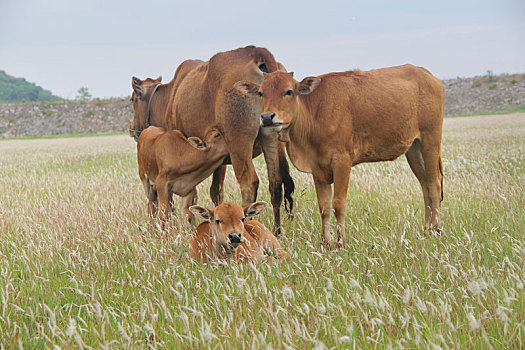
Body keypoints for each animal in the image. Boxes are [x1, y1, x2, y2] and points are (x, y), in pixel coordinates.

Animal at [165, 45, 294, 237]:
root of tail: (255, 52)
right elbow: (216, 192)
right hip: (270, 138)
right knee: (275, 183)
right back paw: (277, 232)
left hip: (238, 145)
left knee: (249, 184)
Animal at [235, 64, 444, 247]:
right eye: (261, 93)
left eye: (288, 91)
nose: (267, 117)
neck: (315, 114)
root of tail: (429, 76)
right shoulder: (317, 168)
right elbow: (324, 207)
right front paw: (325, 242)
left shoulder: (342, 162)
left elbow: (338, 204)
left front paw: (340, 241)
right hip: (413, 149)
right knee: (425, 185)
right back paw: (426, 229)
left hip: (430, 141)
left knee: (434, 185)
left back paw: (435, 230)